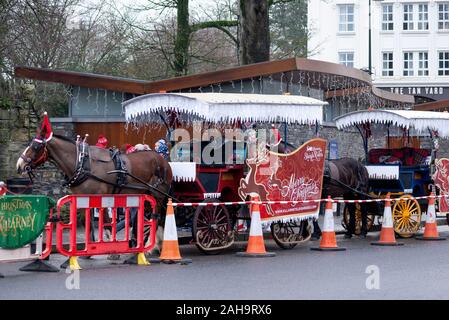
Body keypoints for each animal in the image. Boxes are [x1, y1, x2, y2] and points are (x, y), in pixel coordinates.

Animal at [16, 119, 173, 254]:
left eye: (36, 146)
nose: (19, 165)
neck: (84, 163)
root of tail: (162, 160)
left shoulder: (102, 197)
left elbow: (107, 222)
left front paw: (110, 248)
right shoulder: (82, 197)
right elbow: (88, 222)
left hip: (158, 195)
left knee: (157, 217)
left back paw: (153, 246)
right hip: (148, 195)